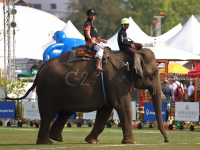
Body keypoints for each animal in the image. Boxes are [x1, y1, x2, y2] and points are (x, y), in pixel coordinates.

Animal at [6, 47, 168, 144]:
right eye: (154, 74)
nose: (166, 141)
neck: (130, 54)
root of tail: (41, 68)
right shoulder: (115, 81)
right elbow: (123, 106)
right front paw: (132, 143)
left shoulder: (110, 85)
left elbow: (105, 112)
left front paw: (92, 141)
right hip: (48, 90)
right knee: (48, 114)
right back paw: (47, 142)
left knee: (65, 112)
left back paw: (56, 138)